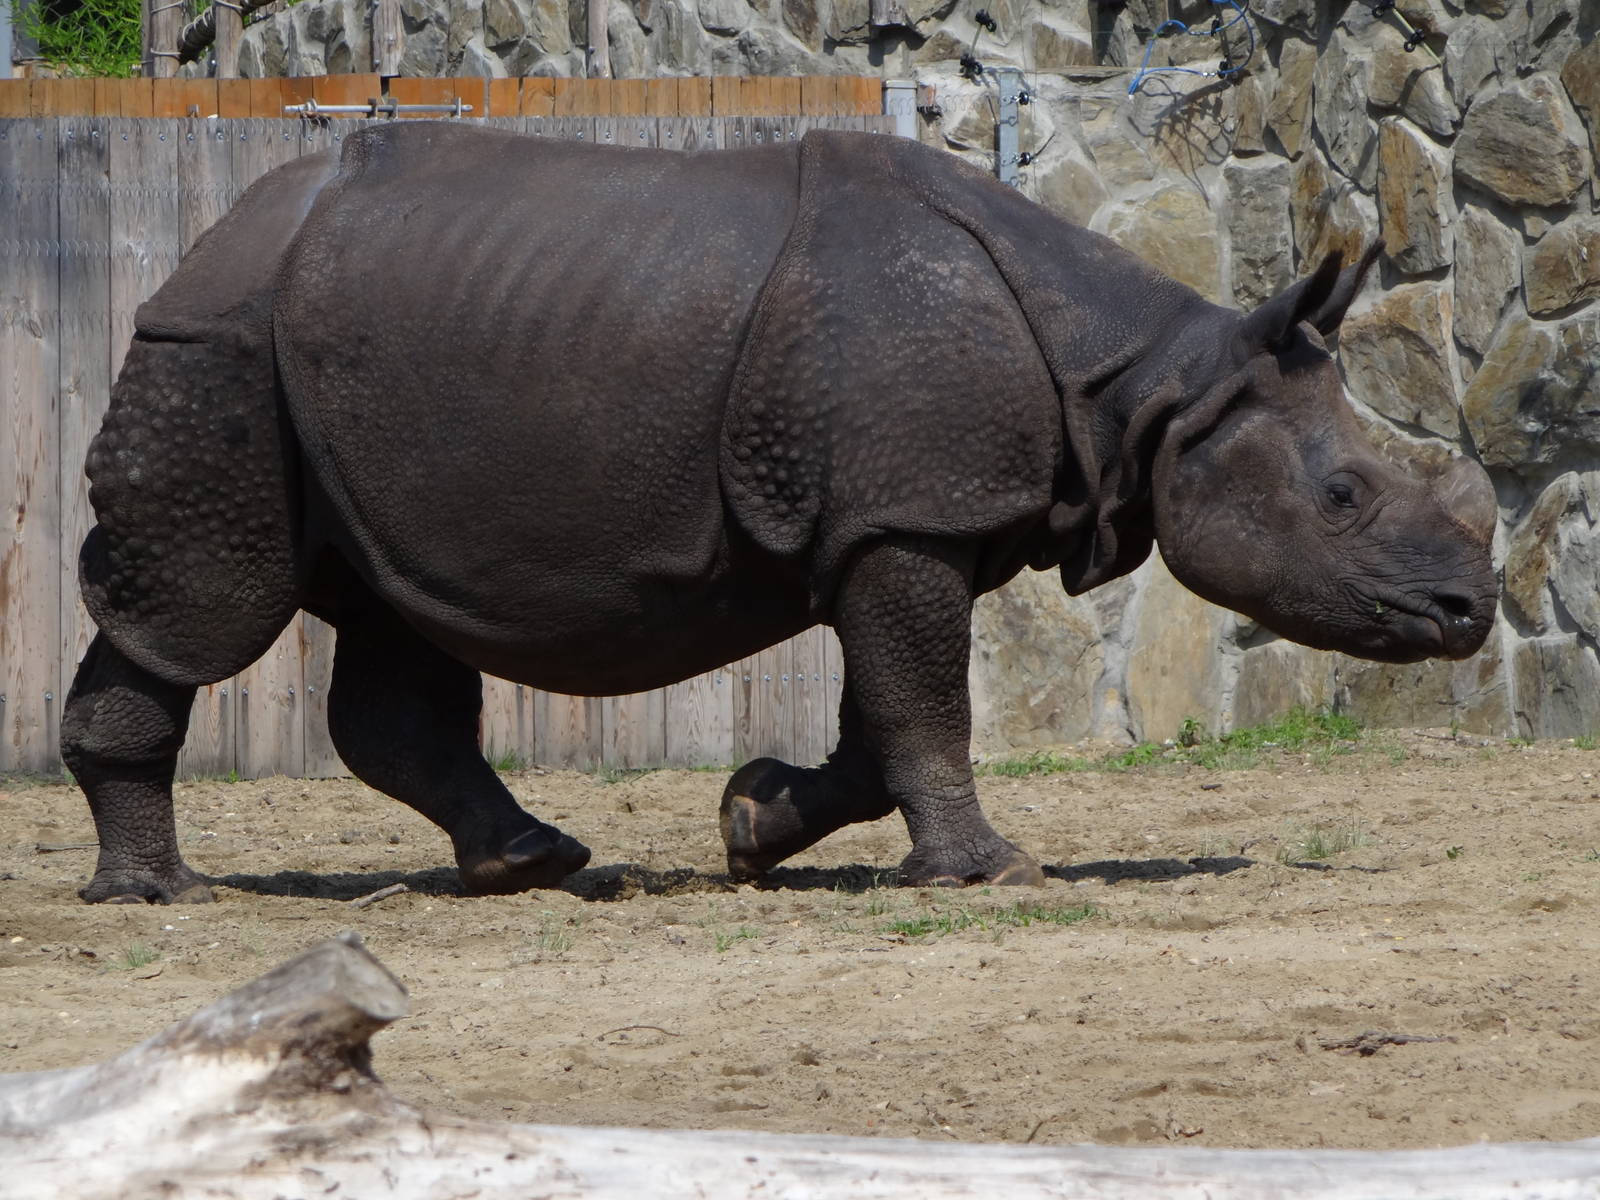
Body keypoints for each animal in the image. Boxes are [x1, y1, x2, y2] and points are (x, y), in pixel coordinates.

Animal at [61, 124, 1497, 904]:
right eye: (1344, 497)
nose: (1470, 612)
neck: (1150, 389)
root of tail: (211, 235)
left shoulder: (898, 520)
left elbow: (883, 718)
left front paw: (753, 824)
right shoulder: (908, 515)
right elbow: (924, 704)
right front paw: (991, 872)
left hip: (332, 361)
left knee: (390, 615)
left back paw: (531, 859)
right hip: (216, 350)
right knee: (208, 608)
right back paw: (163, 891)